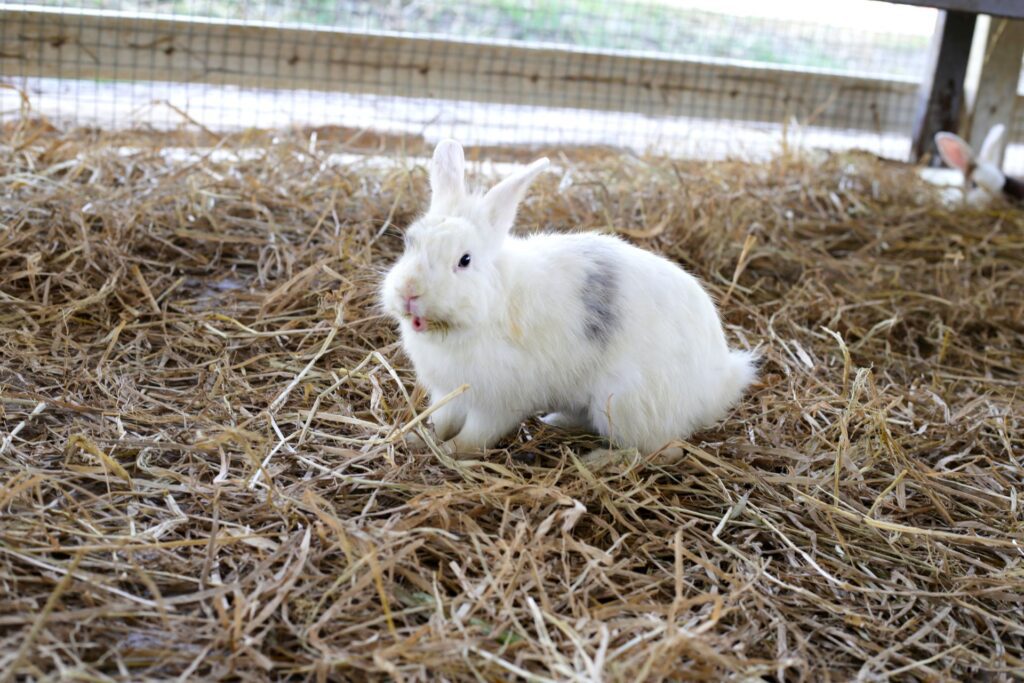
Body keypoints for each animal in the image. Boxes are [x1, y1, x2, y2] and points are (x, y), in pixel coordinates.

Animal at [381, 139, 757, 454]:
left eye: (465, 260)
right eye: (409, 242)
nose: (409, 292)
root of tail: (717, 383)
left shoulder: (496, 403)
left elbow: (474, 436)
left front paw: (448, 451)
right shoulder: (447, 393)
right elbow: (440, 420)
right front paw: (418, 439)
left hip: (622, 403)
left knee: (659, 451)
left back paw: (600, 460)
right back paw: (555, 422)